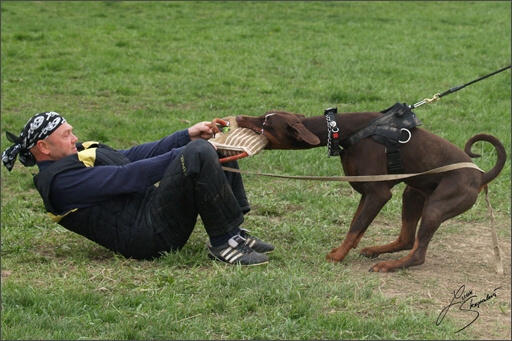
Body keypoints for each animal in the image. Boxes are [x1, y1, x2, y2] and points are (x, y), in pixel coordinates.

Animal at [234, 106, 506, 270]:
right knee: (407, 238)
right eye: (263, 115)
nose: (238, 117)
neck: (340, 130)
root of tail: (481, 175)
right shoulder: (366, 192)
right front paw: (342, 250)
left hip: (437, 206)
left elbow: (356, 227)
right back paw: (377, 251)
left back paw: (390, 265)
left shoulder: (377, 194)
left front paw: (337, 257)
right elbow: (355, 226)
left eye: (265, 123)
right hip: (413, 194)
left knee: (418, 253)